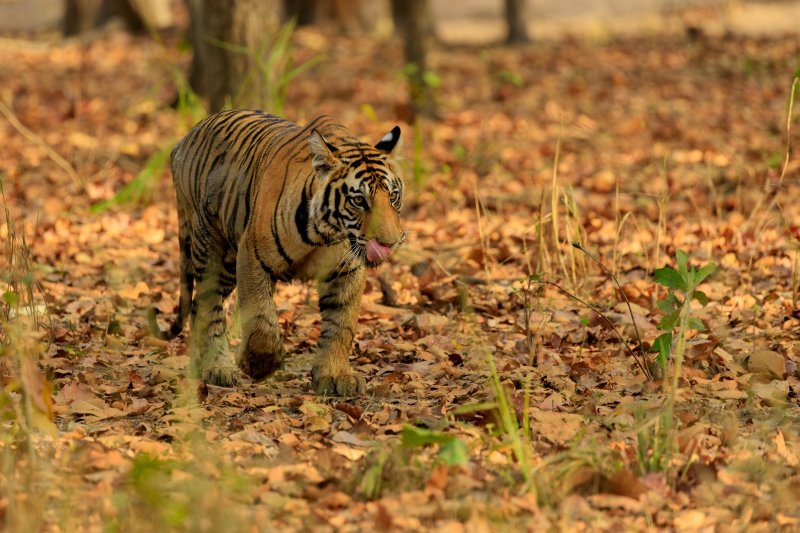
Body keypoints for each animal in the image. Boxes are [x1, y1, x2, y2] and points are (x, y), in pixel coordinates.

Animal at [149, 110, 404, 396]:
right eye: (359, 200)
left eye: (393, 197)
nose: (390, 242)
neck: (325, 234)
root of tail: (184, 139)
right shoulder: (252, 256)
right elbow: (260, 316)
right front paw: (260, 365)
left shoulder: (346, 270)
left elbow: (341, 325)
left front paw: (335, 375)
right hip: (212, 249)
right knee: (208, 307)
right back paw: (218, 368)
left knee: (196, 308)